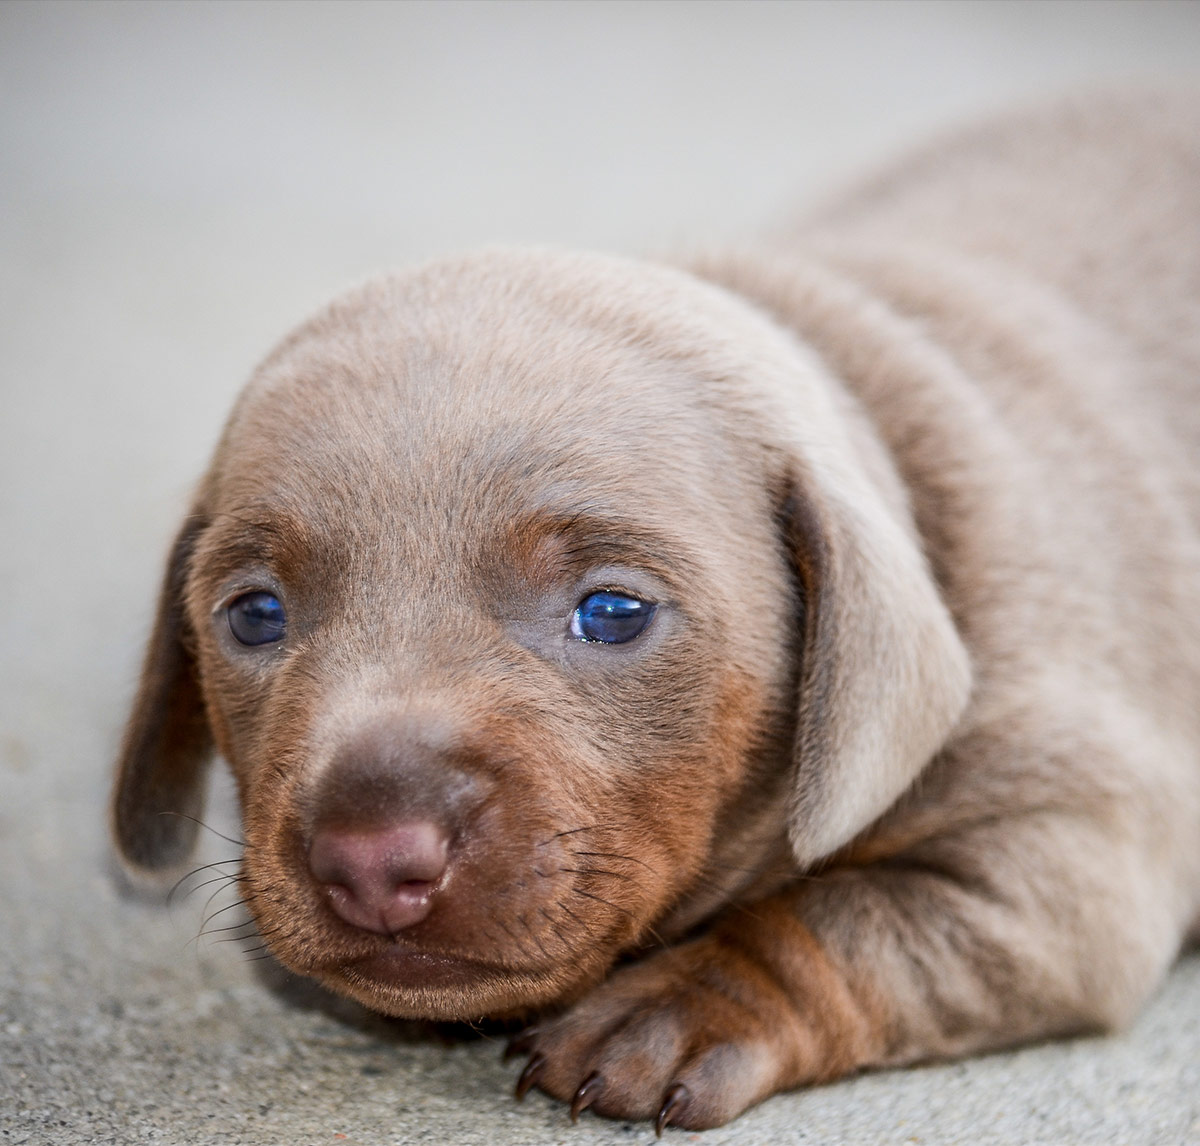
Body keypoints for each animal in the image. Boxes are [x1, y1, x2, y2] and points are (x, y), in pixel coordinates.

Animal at [112, 94, 1200, 1132]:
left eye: (612, 612)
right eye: (255, 615)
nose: (372, 860)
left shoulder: (1068, 859)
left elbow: (831, 918)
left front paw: (683, 1006)